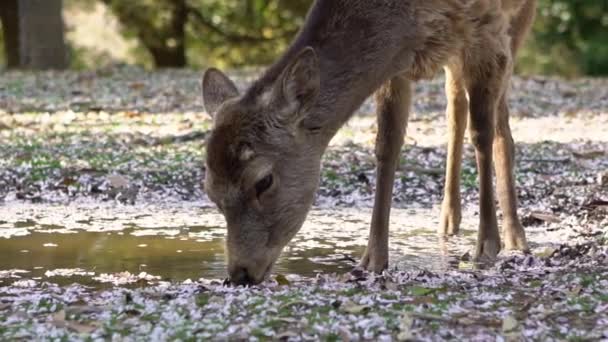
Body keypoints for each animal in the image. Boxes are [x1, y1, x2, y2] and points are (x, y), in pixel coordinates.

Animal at [202, 0, 536, 286]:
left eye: (264, 181)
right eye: (211, 192)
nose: (240, 273)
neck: (408, 18)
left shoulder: (488, 28)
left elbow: (483, 133)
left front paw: (487, 246)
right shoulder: (399, 65)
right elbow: (386, 144)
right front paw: (372, 259)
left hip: (514, 23)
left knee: (499, 119)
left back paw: (515, 236)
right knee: (456, 106)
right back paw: (449, 219)